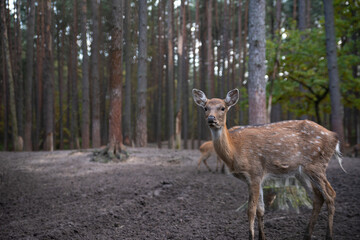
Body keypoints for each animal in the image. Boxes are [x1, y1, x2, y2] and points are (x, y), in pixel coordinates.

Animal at [193, 88, 344, 240]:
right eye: (205, 108)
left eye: (222, 108)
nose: (211, 119)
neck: (234, 151)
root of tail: (335, 137)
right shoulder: (257, 177)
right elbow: (261, 209)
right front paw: (262, 237)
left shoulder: (254, 172)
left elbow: (251, 210)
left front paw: (251, 236)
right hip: (303, 173)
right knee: (318, 197)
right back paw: (307, 234)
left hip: (317, 165)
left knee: (331, 195)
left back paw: (328, 235)